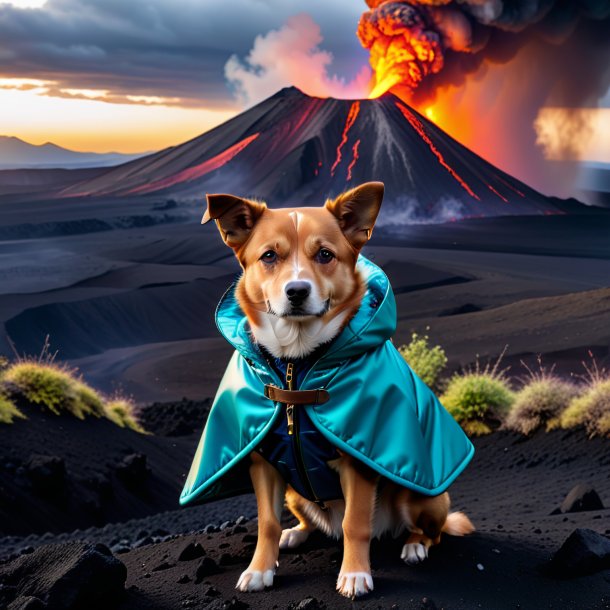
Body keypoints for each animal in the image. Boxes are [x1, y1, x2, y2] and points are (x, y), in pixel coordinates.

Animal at [182, 182, 476, 600]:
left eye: (325, 255)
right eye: (269, 256)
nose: (297, 291)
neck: (296, 367)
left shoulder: (359, 462)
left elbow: (356, 524)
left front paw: (354, 575)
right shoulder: (262, 462)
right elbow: (266, 523)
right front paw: (260, 569)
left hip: (422, 498)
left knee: (427, 532)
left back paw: (414, 545)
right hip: (295, 492)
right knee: (306, 523)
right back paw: (295, 534)